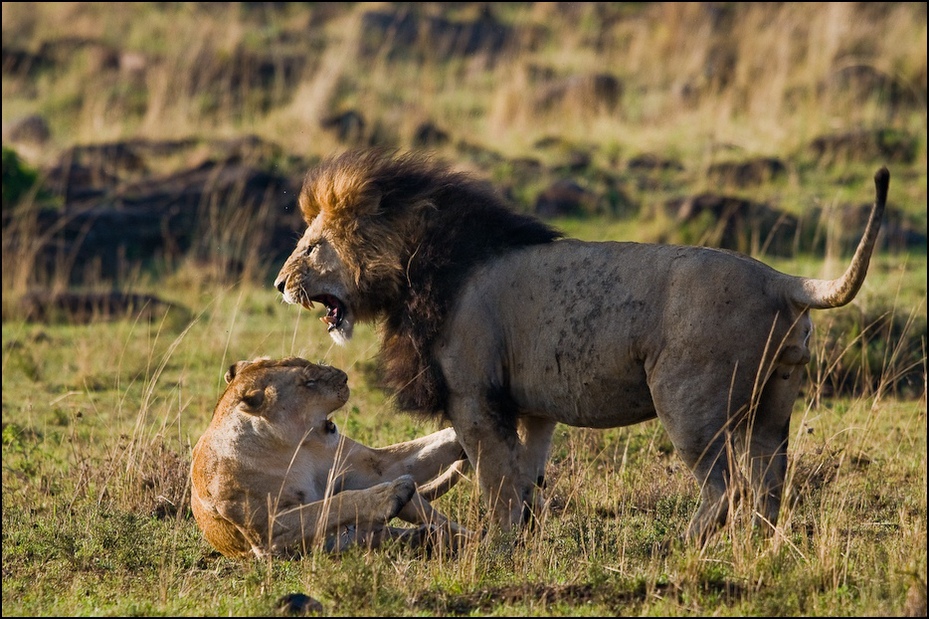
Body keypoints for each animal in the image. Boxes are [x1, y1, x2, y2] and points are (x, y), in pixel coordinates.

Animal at [193, 356, 474, 560]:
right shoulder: (268, 533)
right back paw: (425, 538)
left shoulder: (374, 466)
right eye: (308, 382)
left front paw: (461, 435)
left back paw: (472, 538)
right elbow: (331, 506)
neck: (289, 446)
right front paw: (390, 493)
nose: (345, 378)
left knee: (442, 524)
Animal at [272, 149, 888, 544]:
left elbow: (494, 479)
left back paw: (682, 545)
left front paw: (495, 548)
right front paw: (523, 537)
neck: (414, 266)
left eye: (312, 246)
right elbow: (523, 475)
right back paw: (757, 550)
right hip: (774, 405)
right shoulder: (531, 407)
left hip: (689, 404)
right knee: (767, 486)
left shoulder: (474, 397)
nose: (278, 284)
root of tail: (782, 279)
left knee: (725, 487)